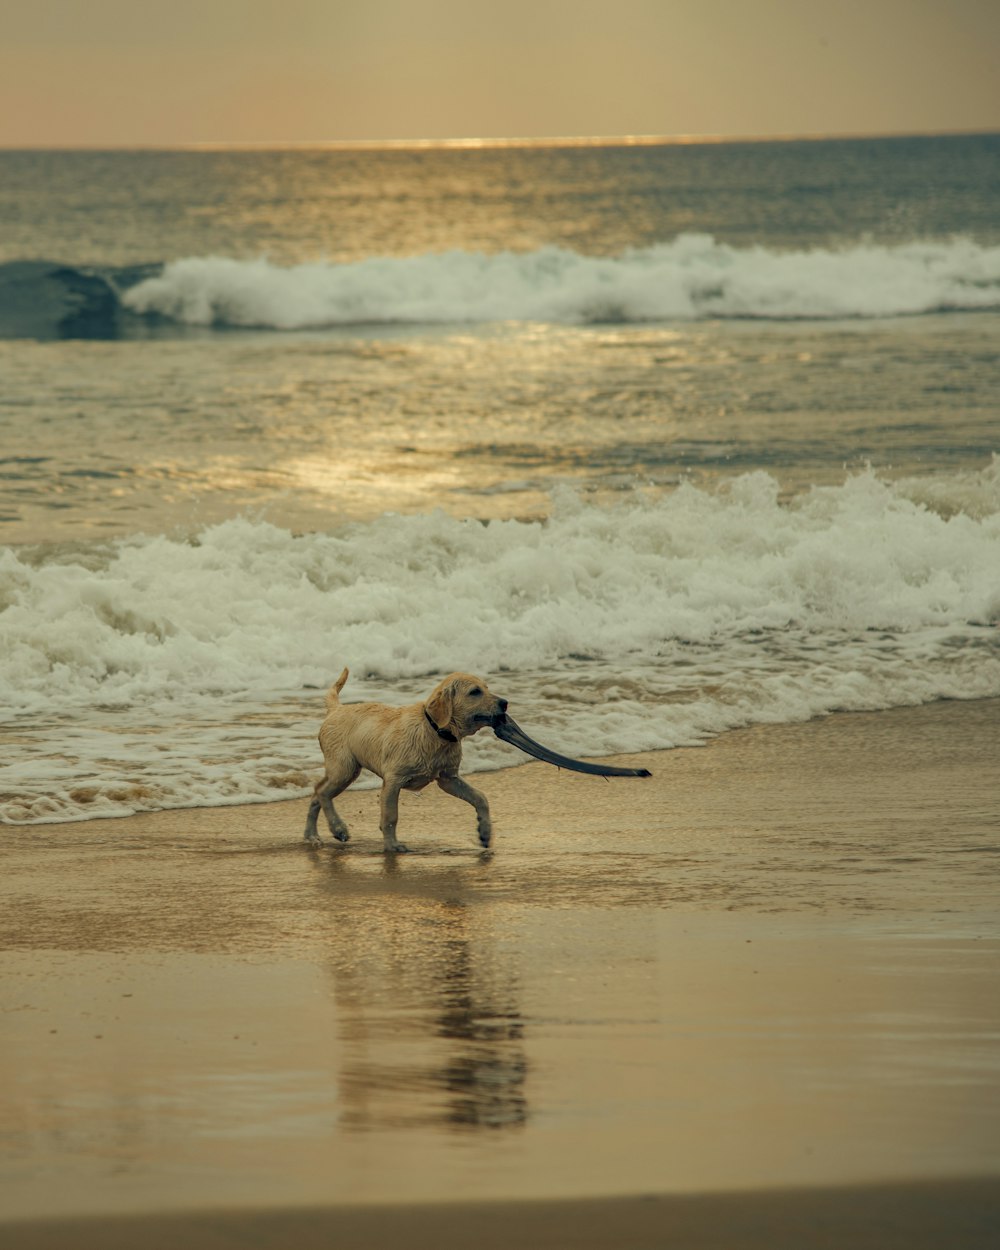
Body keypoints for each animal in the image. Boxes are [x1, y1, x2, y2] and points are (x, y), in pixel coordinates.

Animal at [302, 670, 507, 855]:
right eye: (475, 692)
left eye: (486, 688)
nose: (505, 703)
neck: (433, 730)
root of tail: (336, 709)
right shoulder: (394, 780)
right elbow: (390, 816)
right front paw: (392, 845)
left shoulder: (448, 779)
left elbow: (480, 797)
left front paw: (485, 832)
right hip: (344, 769)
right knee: (322, 793)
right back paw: (338, 828)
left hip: (342, 771)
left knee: (316, 794)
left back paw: (311, 835)